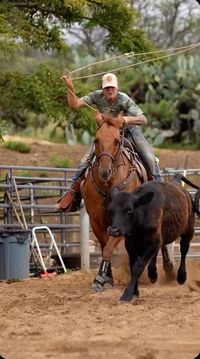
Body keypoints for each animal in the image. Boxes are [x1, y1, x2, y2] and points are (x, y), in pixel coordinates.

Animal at [81, 113, 172, 292]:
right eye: (96, 140)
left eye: (117, 140)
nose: (104, 171)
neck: (109, 185)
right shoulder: (96, 221)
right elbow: (105, 247)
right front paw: (105, 278)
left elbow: (109, 248)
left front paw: (101, 278)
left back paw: (166, 269)